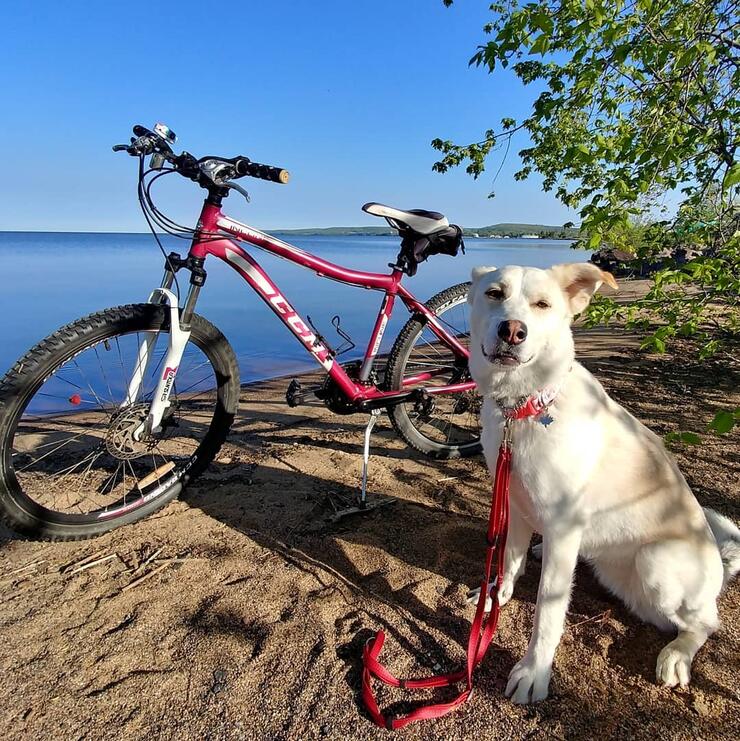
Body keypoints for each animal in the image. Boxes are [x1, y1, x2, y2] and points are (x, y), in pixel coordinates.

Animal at [468, 264, 740, 704]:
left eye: (543, 304)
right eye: (495, 294)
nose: (512, 330)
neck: (525, 407)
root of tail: (720, 561)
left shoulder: (563, 528)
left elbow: (547, 613)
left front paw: (534, 671)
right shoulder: (516, 503)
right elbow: (509, 562)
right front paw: (496, 597)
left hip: (657, 560)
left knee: (706, 623)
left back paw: (676, 656)